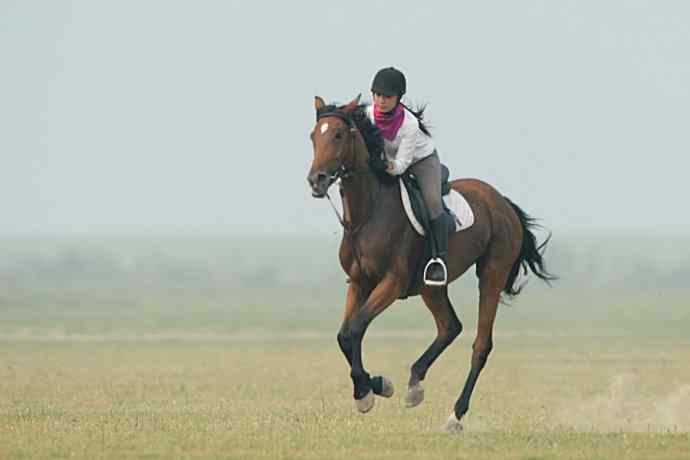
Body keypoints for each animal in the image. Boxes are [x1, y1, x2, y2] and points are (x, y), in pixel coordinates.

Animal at [306, 93, 552, 432]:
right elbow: (344, 335)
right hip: (431, 286)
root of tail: (501, 201)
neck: (368, 214)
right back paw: (414, 385)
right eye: (313, 137)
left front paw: (367, 393)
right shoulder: (359, 282)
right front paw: (376, 385)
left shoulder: (392, 283)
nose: (315, 181)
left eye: (339, 135)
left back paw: (455, 416)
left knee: (480, 345)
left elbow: (356, 328)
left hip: (492, 274)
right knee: (450, 326)